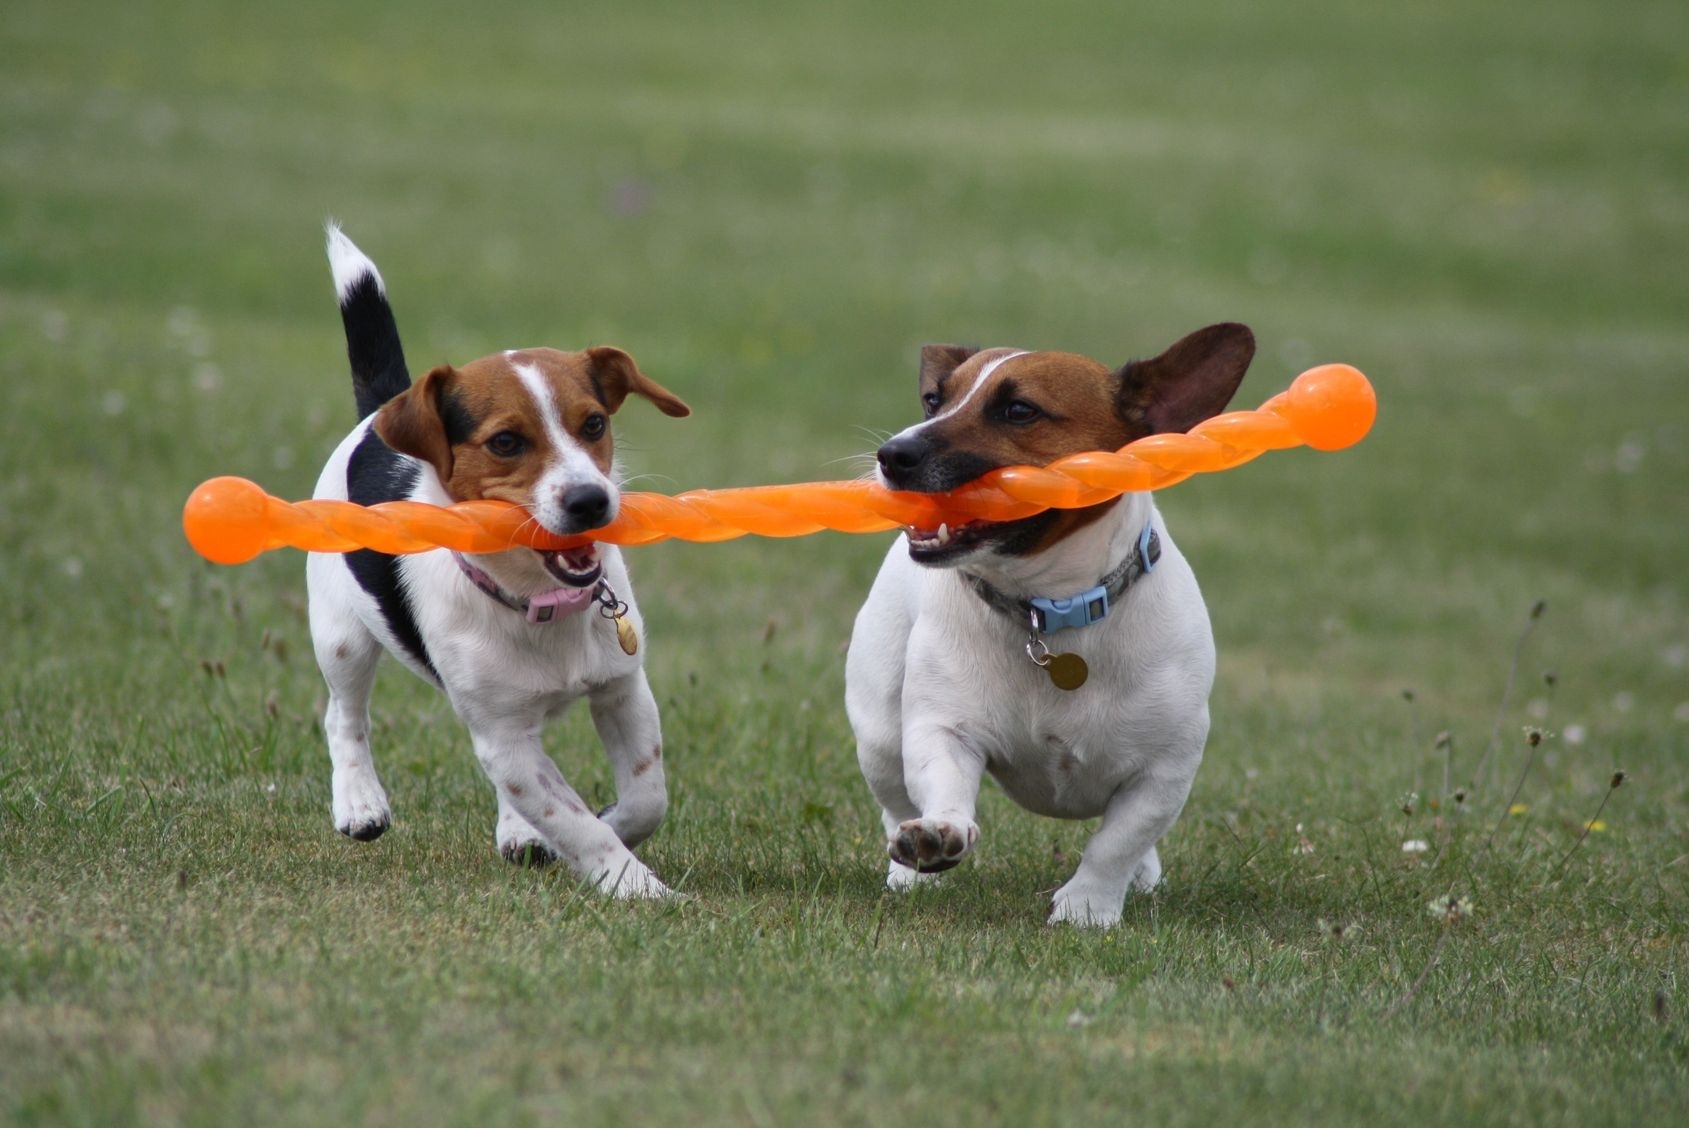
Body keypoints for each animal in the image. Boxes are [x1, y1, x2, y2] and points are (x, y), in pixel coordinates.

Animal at [307, 226, 689, 898]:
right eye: (506, 442)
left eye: (595, 424)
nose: (591, 501)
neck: (538, 601)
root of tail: (376, 414)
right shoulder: (502, 738)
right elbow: (574, 820)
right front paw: (633, 884)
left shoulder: (623, 692)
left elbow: (645, 798)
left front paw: (604, 825)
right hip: (341, 638)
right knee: (343, 716)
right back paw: (359, 802)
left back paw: (520, 831)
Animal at [844, 324, 1256, 925]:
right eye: (934, 400)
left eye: (1019, 411)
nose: (891, 454)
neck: (1050, 607)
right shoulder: (944, 730)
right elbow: (943, 783)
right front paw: (939, 833)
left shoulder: (1164, 771)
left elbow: (1119, 841)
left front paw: (1087, 909)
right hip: (878, 731)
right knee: (894, 802)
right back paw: (910, 872)